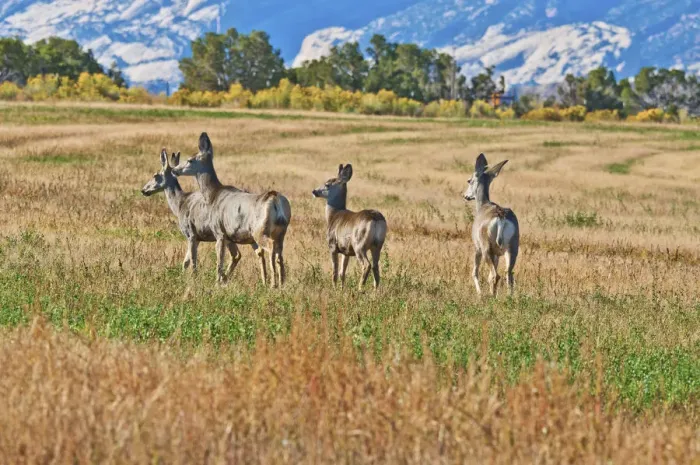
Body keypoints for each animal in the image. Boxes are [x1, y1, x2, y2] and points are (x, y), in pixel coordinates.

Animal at [172, 133, 291, 287]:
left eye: (190, 160)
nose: (174, 170)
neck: (213, 195)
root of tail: (275, 198)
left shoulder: (219, 232)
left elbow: (220, 260)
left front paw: (217, 283)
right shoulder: (228, 236)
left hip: (260, 230)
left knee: (271, 246)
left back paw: (273, 284)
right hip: (282, 231)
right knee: (279, 253)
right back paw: (282, 284)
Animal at [463, 153, 519, 296]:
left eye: (469, 180)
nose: (465, 196)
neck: (483, 204)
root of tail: (501, 216)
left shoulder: (477, 247)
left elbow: (475, 272)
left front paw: (480, 294)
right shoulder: (497, 254)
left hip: (486, 248)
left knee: (495, 275)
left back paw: (492, 297)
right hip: (512, 247)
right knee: (508, 274)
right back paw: (509, 297)